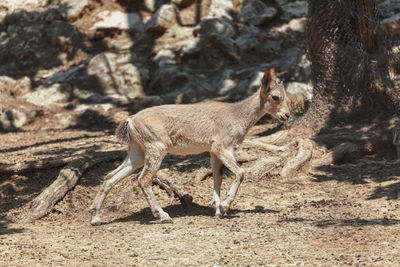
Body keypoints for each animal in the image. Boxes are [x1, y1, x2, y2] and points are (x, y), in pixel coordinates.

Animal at [89, 67, 290, 226]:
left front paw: (218, 209)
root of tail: (131, 120)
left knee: (110, 176)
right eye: (275, 96)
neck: (236, 115)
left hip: (136, 152)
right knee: (143, 180)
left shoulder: (213, 151)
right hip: (156, 149)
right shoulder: (222, 147)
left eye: (286, 95)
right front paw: (224, 206)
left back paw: (95, 217)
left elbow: (218, 176)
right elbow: (240, 172)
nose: (287, 115)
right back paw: (164, 216)